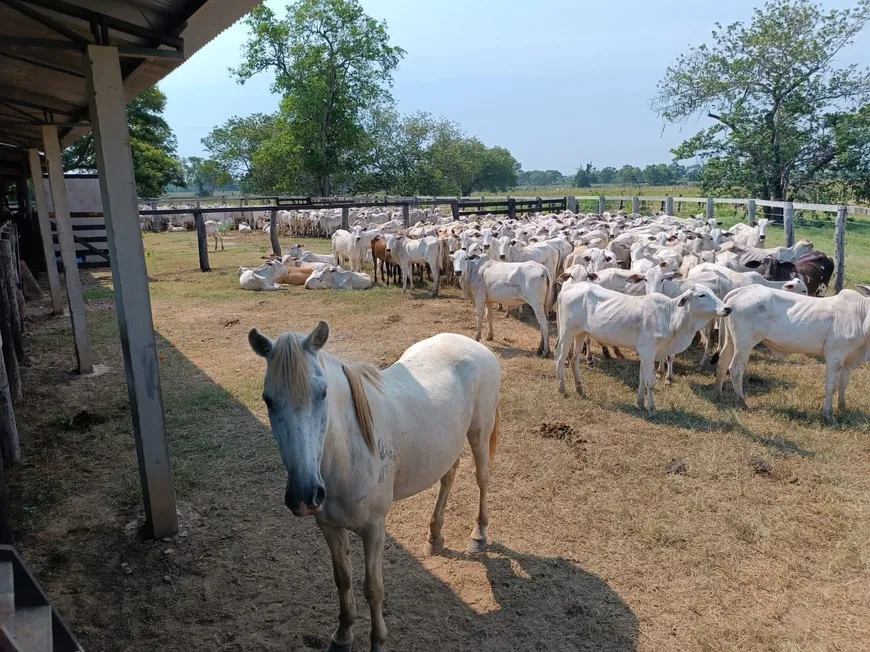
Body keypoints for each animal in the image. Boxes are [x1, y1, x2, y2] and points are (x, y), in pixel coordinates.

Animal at [249, 324, 500, 648]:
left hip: (480, 432)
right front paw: (343, 635)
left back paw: (478, 535)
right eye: (268, 399)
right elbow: (342, 578)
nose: (305, 494)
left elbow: (373, 588)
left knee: (482, 478)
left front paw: (378, 640)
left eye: (322, 393)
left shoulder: (374, 530)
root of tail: (476, 345)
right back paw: (434, 536)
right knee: (448, 477)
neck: (348, 453)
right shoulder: (329, 527)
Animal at [716, 284, 870, 418]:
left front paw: (842, 407)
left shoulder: (848, 359)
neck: (861, 315)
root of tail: (741, 290)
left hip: (730, 340)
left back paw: (719, 393)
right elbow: (831, 386)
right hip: (744, 344)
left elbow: (843, 384)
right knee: (735, 369)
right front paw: (829, 414)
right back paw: (741, 401)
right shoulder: (835, 357)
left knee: (722, 361)